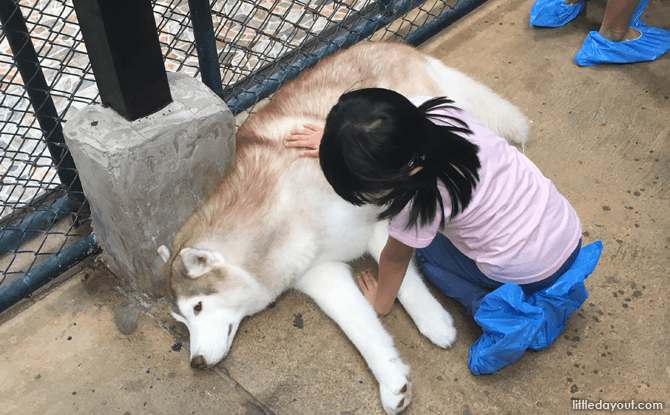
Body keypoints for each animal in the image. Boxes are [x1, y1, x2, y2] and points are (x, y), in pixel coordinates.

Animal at [159, 40, 532, 414]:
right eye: (182, 322)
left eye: (197, 307)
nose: (196, 362)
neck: (289, 219)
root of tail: (390, 44)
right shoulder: (321, 275)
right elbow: (362, 330)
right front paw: (391, 382)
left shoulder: (382, 221)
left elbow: (401, 278)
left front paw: (432, 320)